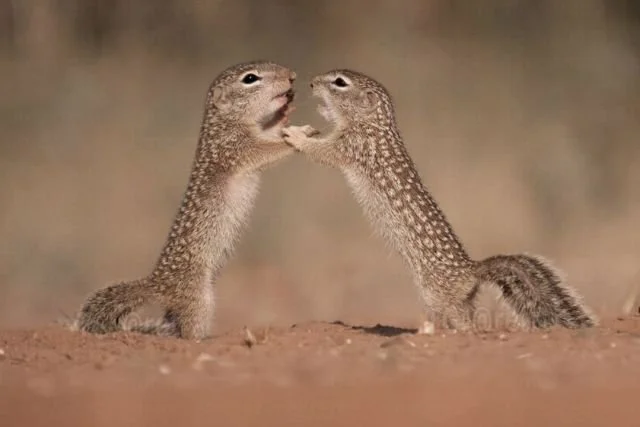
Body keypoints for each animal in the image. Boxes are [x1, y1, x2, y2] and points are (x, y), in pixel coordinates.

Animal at [76, 61, 296, 342]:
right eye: (250, 79)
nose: (292, 76)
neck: (224, 122)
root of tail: (159, 283)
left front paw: (286, 112)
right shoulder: (235, 149)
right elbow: (269, 151)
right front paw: (302, 136)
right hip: (199, 297)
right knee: (188, 331)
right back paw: (203, 340)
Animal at [284, 70, 596, 332]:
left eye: (340, 82)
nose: (311, 83)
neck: (375, 124)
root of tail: (471, 271)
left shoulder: (352, 146)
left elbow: (322, 152)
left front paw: (294, 134)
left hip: (434, 294)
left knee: (463, 320)